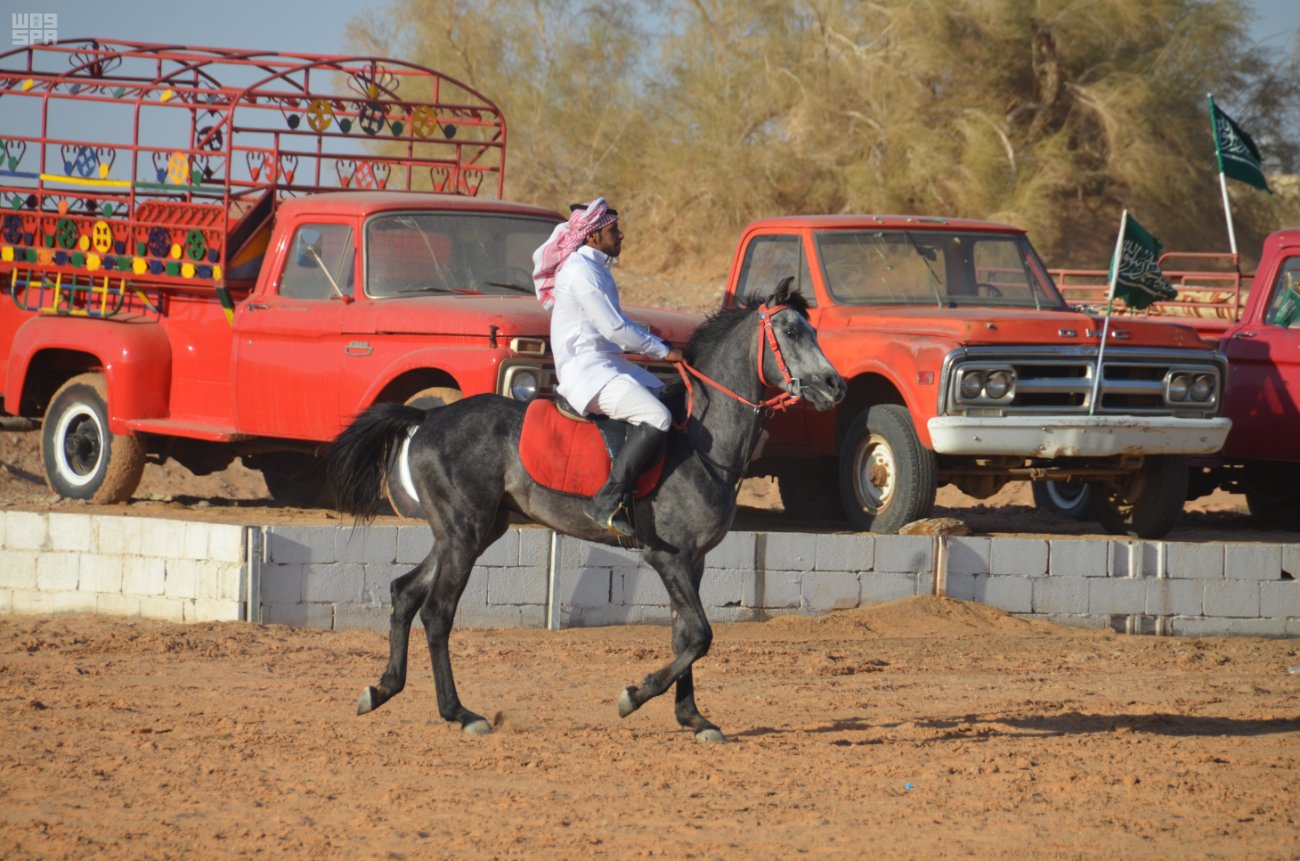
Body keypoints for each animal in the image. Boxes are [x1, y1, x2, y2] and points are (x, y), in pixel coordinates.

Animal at [327, 279, 842, 743]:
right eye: (791, 331)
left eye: (813, 331)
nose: (835, 385)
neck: (699, 441)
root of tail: (428, 416)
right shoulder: (667, 557)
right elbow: (699, 635)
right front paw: (635, 695)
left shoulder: (693, 561)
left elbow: (684, 635)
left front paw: (693, 718)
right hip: (464, 535)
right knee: (436, 613)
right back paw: (460, 712)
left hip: (466, 533)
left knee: (404, 594)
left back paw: (383, 689)